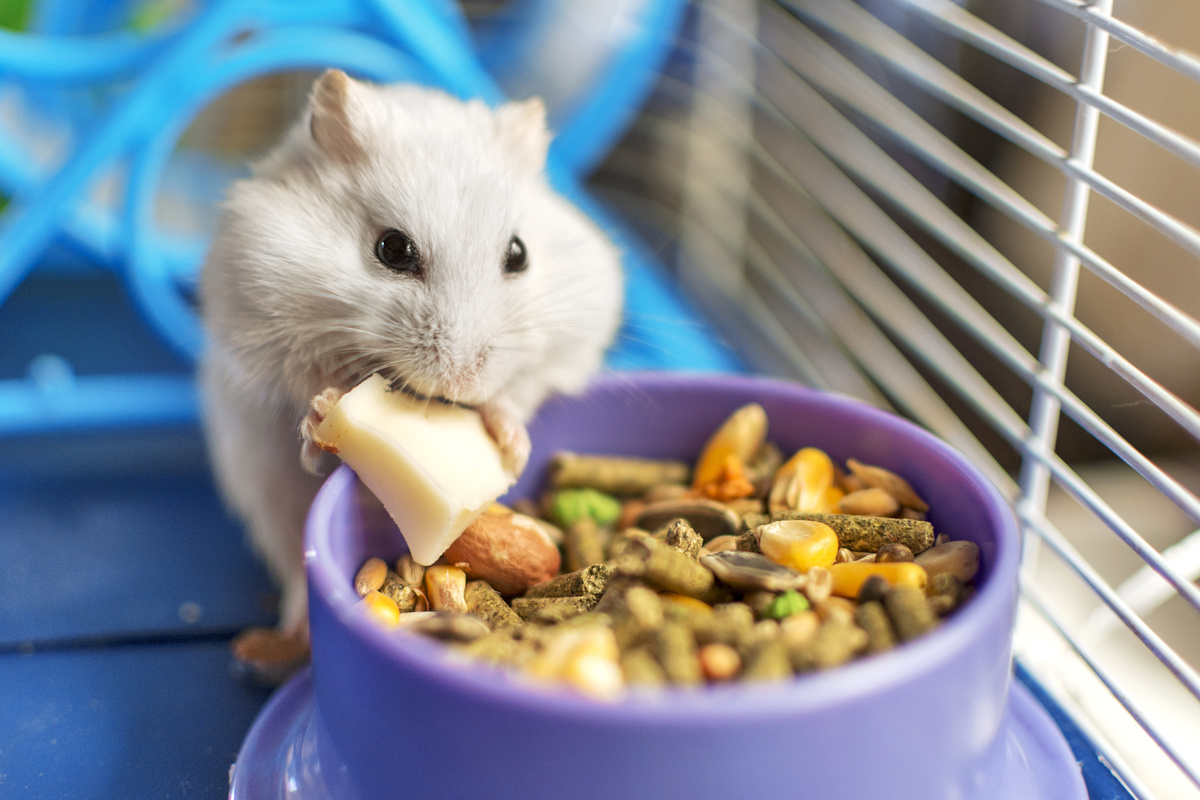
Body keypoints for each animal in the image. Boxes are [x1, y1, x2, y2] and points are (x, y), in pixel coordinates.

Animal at [194, 70, 628, 652]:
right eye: (392, 249)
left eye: (519, 254)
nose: (460, 383)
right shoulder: (259, 321)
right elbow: (307, 381)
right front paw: (325, 413)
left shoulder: (570, 340)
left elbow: (518, 393)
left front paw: (512, 449)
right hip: (264, 489)